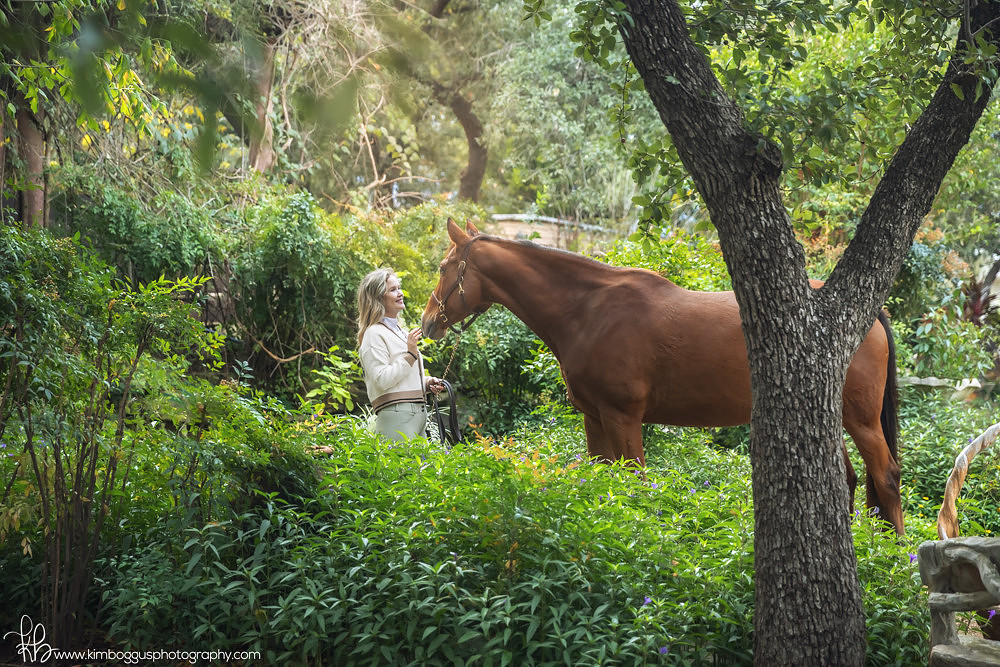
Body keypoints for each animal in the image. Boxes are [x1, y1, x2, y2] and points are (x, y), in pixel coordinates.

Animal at [421, 219, 903, 534]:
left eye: (444, 267)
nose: (427, 324)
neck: (588, 311)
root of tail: (871, 316)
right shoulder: (594, 418)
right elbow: (603, 478)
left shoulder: (622, 417)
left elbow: (634, 481)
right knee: (848, 479)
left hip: (860, 419)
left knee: (886, 476)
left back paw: (894, 555)